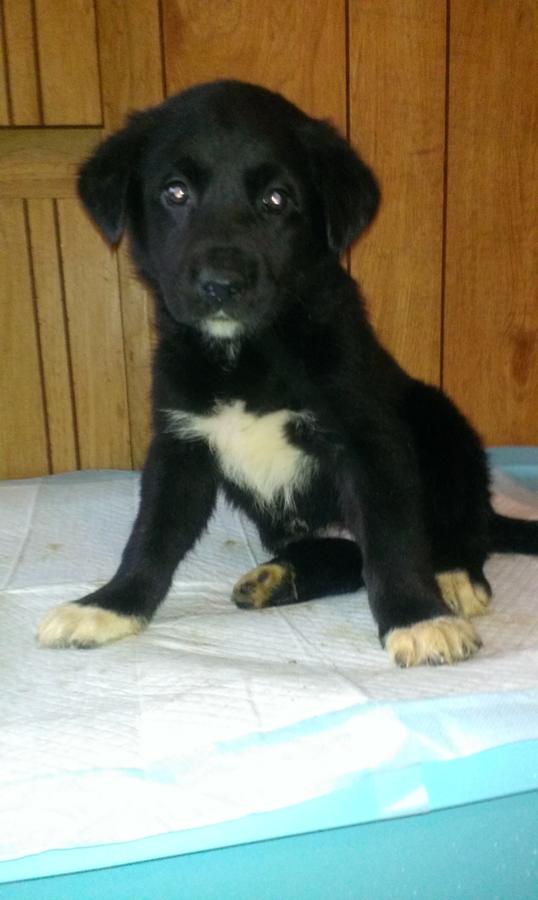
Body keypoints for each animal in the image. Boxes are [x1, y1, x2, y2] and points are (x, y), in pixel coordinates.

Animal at [37, 81, 536, 664]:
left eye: (276, 200)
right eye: (175, 193)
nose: (220, 284)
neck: (248, 351)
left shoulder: (368, 438)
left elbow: (391, 538)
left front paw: (418, 617)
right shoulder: (180, 445)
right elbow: (151, 536)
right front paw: (109, 605)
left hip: (441, 421)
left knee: (462, 525)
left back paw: (454, 575)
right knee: (348, 556)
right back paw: (276, 579)